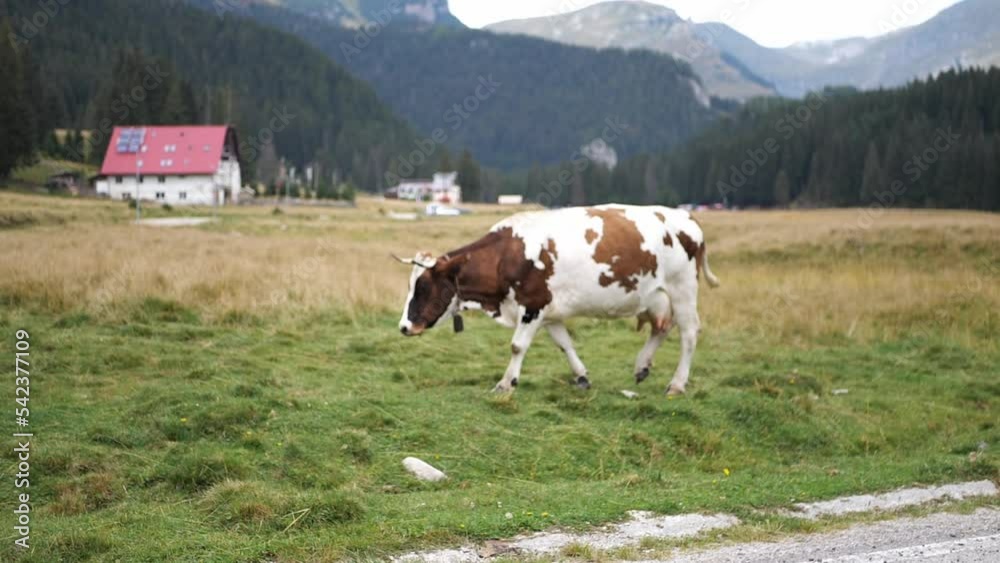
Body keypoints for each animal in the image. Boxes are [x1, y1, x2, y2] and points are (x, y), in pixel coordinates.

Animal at [395, 204, 720, 396]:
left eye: (422, 286)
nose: (404, 327)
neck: (507, 254)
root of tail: (686, 216)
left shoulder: (533, 304)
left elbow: (517, 345)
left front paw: (506, 383)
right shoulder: (548, 310)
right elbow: (564, 344)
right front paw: (581, 377)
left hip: (683, 289)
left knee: (688, 333)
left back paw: (677, 384)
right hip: (657, 296)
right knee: (662, 327)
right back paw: (642, 365)